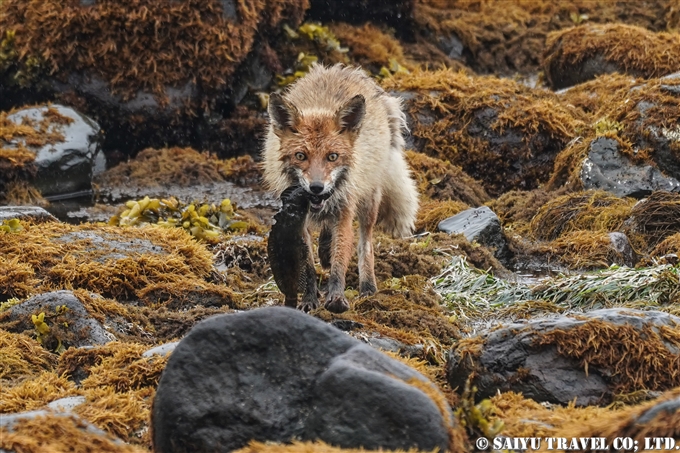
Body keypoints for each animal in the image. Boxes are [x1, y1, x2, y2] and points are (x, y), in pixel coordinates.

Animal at [262, 62, 418, 310]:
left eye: (332, 157)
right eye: (300, 156)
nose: (316, 187)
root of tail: (345, 69)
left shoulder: (345, 212)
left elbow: (340, 262)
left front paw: (336, 298)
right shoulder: (300, 222)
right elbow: (308, 266)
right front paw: (309, 299)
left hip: (369, 203)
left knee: (365, 244)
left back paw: (368, 286)